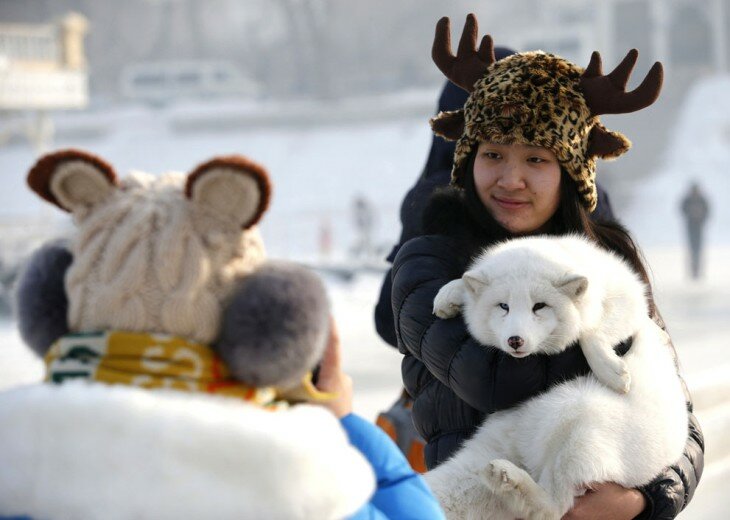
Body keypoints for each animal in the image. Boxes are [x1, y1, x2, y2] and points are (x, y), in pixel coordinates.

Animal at [424, 236, 684, 520]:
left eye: (540, 306)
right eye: (503, 306)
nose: (515, 340)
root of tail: (523, 451)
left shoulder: (630, 297)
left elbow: (591, 330)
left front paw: (611, 370)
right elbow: (464, 280)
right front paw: (449, 294)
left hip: (578, 430)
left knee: (553, 507)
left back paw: (507, 477)